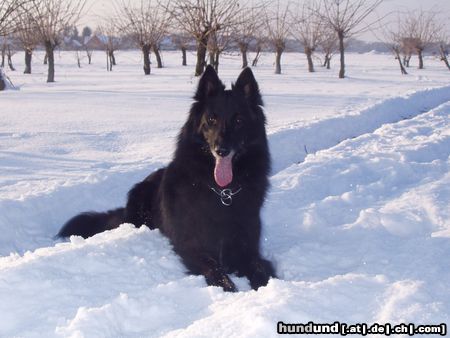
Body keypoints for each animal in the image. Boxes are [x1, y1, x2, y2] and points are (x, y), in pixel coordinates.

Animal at [58, 65, 276, 290]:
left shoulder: (246, 244)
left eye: (239, 120)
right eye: (211, 119)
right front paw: (228, 287)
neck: (223, 193)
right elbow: (214, 268)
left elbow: (260, 267)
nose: (221, 150)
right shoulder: (192, 245)